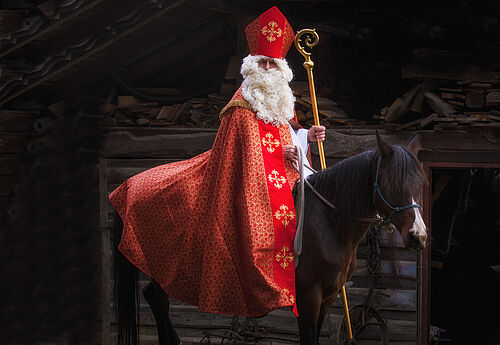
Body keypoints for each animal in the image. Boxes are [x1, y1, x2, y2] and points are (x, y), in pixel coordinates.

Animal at [113, 132, 426, 344]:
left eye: (421, 183)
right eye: (390, 183)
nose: (418, 237)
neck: (328, 221)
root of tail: (129, 183)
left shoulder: (328, 295)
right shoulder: (308, 296)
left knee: (153, 295)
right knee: (157, 298)